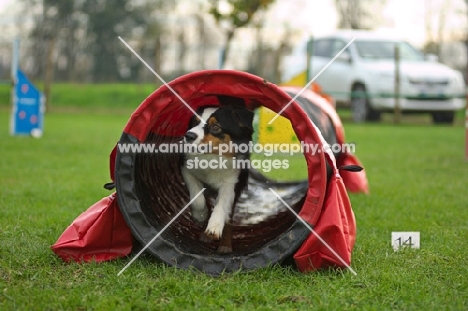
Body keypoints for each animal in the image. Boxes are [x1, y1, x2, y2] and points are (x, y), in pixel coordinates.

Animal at [180, 97, 254, 254]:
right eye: (195, 122)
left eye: (216, 127)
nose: (188, 135)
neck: (211, 156)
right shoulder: (186, 167)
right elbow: (197, 197)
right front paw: (200, 216)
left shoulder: (232, 182)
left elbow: (222, 205)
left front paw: (214, 227)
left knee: (230, 217)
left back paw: (225, 245)